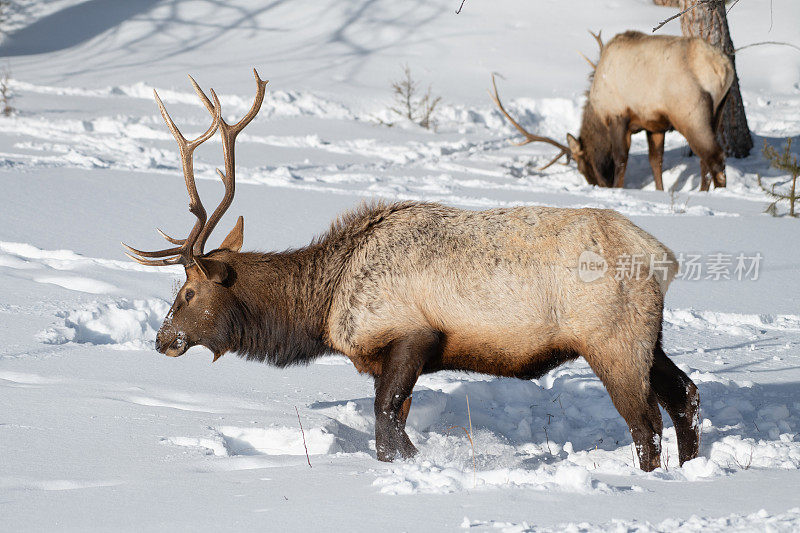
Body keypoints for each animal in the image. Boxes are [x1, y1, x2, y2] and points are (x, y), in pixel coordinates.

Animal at [123, 69, 700, 470]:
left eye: (187, 293)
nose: (161, 338)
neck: (323, 306)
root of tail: (662, 257)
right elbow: (391, 425)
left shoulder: (411, 335)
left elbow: (386, 424)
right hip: (646, 334)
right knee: (685, 394)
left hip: (610, 337)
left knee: (645, 421)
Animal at [490, 30, 736, 191]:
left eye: (581, 164)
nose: (598, 185)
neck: (597, 112)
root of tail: (723, 67)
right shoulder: (654, 124)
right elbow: (655, 160)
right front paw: (659, 191)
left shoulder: (618, 115)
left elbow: (620, 158)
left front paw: (618, 189)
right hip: (718, 111)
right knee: (706, 159)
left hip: (689, 112)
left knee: (714, 156)